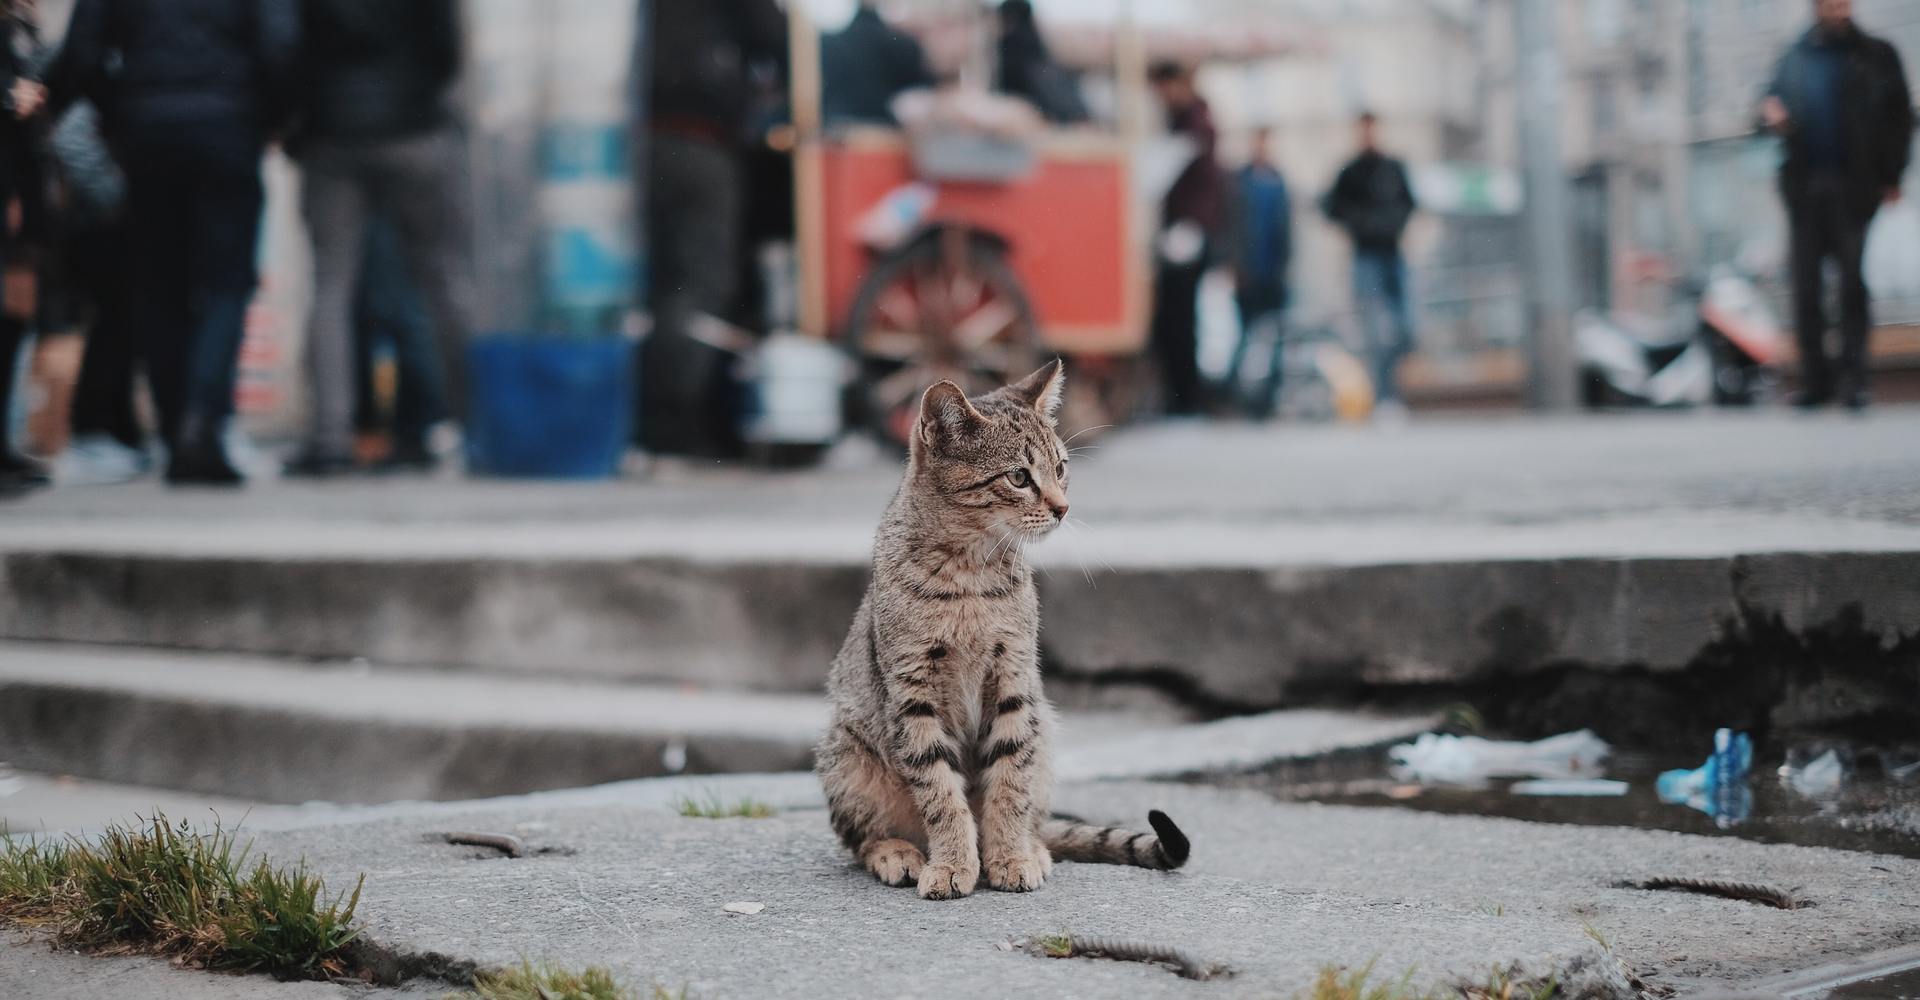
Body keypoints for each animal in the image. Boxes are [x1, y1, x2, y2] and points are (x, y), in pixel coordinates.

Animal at [810, 362, 1182, 902]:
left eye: (1061, 468)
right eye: (1019, 477)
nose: (1063, 508)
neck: (970, 574)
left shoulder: (1014, 680)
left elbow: (1009, 783)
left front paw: (1009, 856)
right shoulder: (912, 693)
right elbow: (941, 791)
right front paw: (951, 864)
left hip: (1044, 731)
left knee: (1034, 808)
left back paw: (1032, 847)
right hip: (847, 755)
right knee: (860, 836)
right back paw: (897, 853)